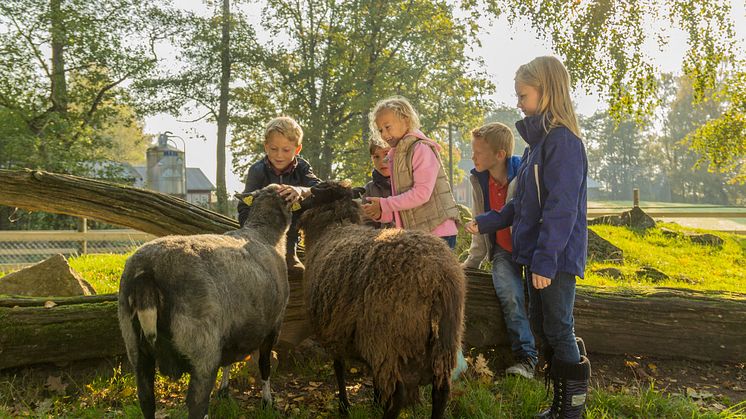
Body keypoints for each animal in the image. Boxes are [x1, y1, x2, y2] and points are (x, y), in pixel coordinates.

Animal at [117, 185, 290, 419]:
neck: (265, 234)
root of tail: (147, 271)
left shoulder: (233, 333)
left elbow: (229, 361)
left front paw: (224, 391)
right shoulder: (273, 326)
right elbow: (265, 365)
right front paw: (267, 402)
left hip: (135, 347)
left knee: (146, 400)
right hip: (201, 349)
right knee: (196, 403)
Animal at [298, 182, 464, 419]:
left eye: (313, 195)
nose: (299, 202)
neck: (334, 226)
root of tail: (439, 277)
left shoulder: (334, 329)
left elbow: (339, 367)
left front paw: (344, 405)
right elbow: (371, 373)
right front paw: (375, 401)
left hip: (388, 337)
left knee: (399, 393)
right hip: (444, 340)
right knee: (441, 390)